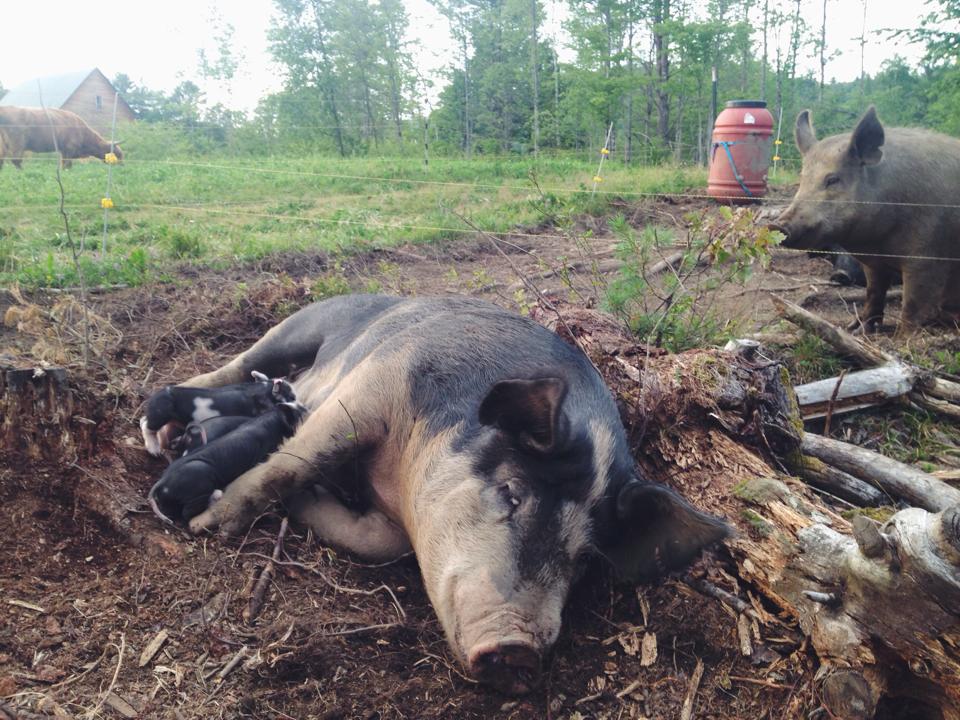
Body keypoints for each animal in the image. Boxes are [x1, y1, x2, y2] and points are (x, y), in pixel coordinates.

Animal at [776, 107, 960, 338]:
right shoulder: (874, 263)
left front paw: (902, 338)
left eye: (832, 179)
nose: (777, 225)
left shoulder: (927, 257)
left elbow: (912, 305)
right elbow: (873, 293)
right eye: (802, 178)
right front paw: (857, 330)